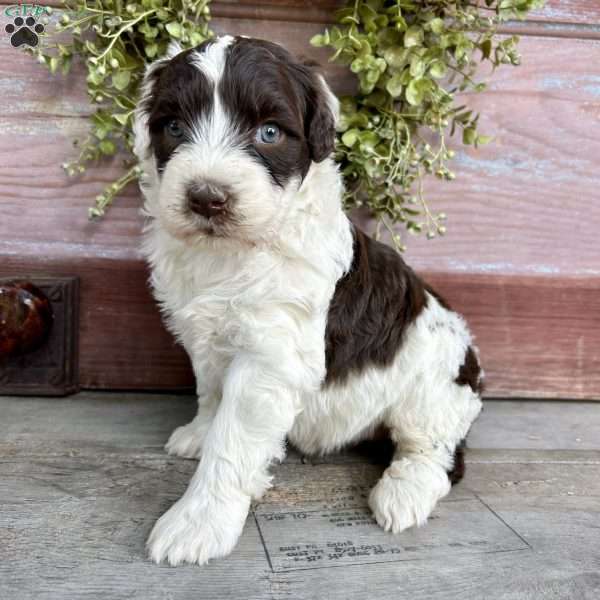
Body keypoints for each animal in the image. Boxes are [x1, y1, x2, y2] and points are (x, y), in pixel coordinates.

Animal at [132, 35, 482, 564]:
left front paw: (198, 523)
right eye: (173, 127)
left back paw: (402, 494)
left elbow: (231, 441)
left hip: (433, 384)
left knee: (436, 452)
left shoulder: (268, 358)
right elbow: (212, 394)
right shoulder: (209, 340)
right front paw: (200, 432)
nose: (207, 198)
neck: (234, 252)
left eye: (270, 133)